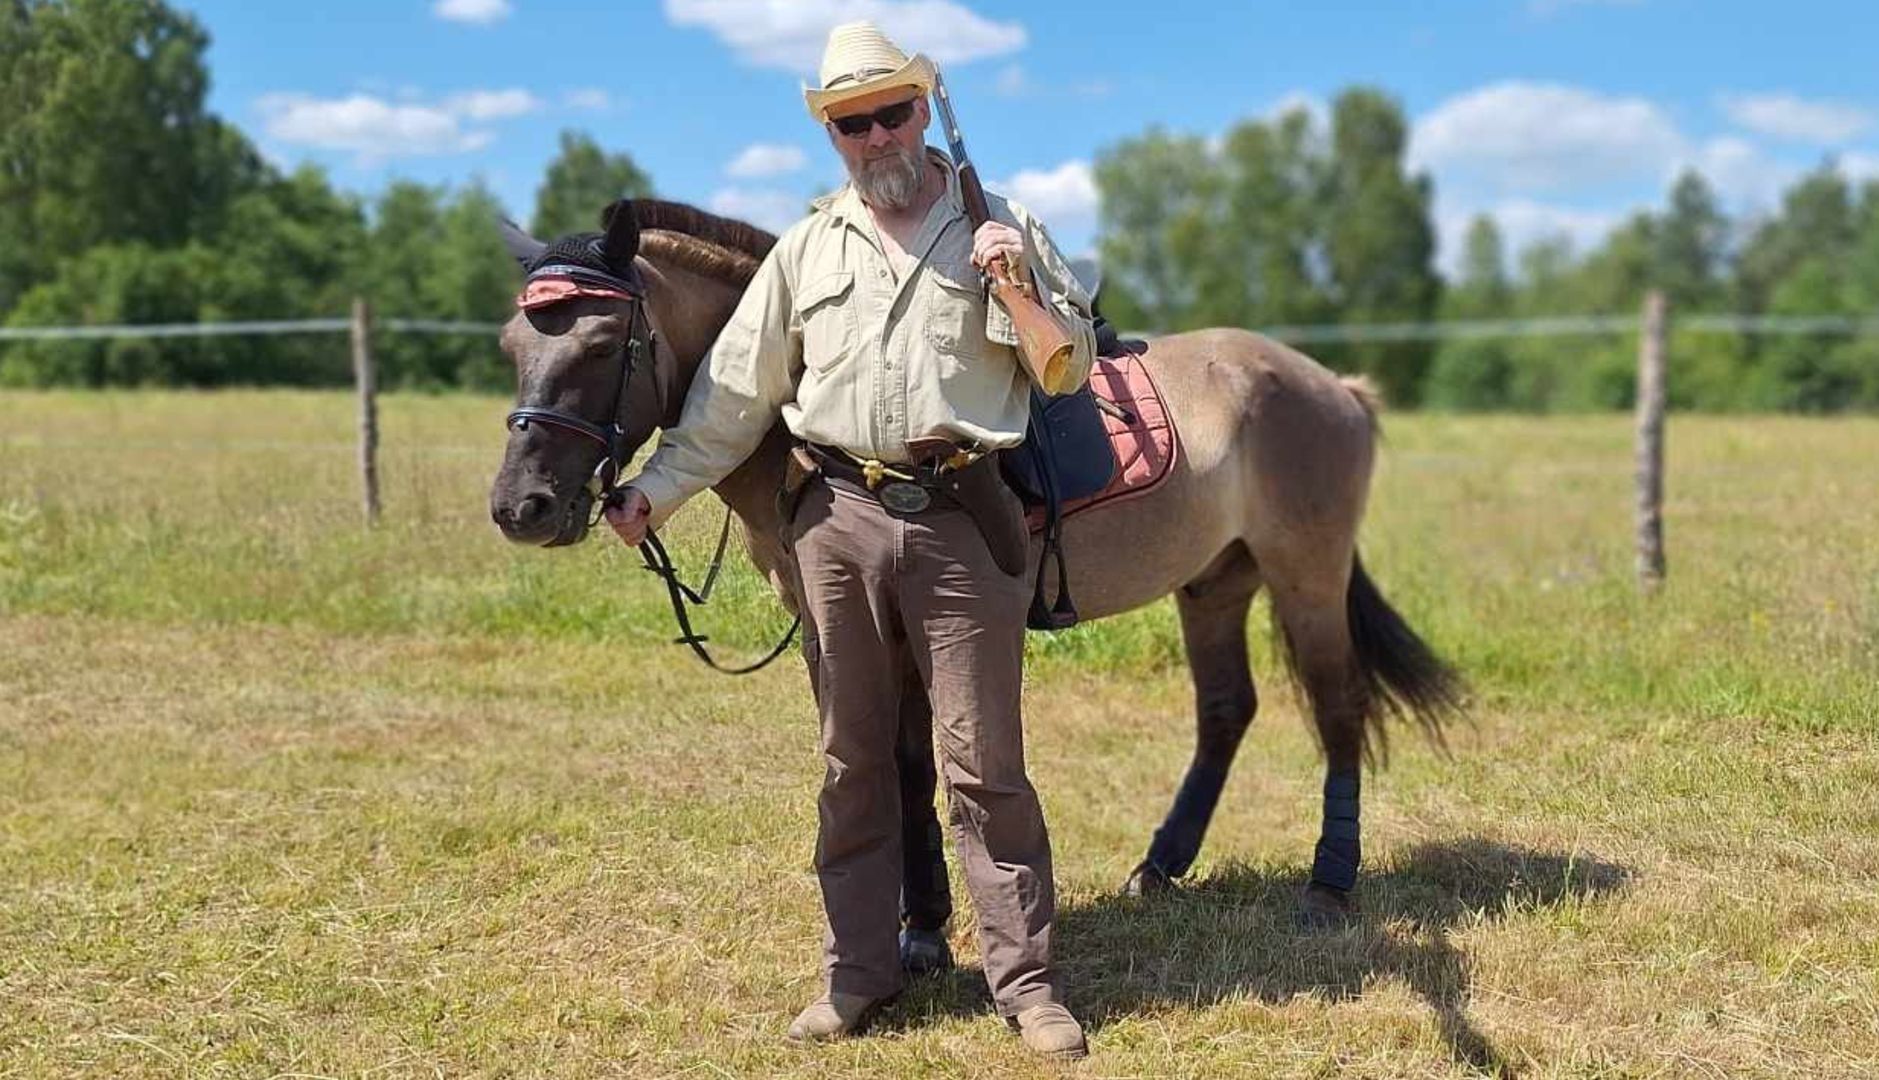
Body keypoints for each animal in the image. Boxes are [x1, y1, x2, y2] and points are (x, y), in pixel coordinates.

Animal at [492, 200, 1458, 939]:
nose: (519, 507)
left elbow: (912, 762)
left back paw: (1328, 883)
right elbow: (879, 761)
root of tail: (1332, 386)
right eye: (510, 345)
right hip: (1215, 581)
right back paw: (1161, 865)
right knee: (1226, 712)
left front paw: (920, 927)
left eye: (603, 344)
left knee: (1337, 708)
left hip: (1305, 573)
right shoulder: (832, 627)